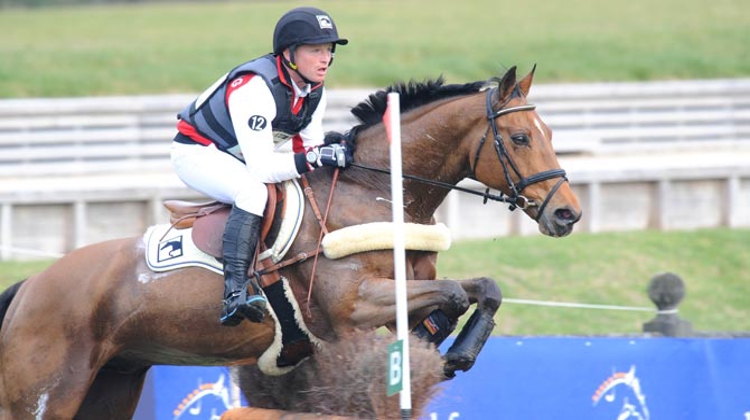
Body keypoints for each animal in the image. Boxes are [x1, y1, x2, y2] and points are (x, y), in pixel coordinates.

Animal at [0, 66, 580, 420]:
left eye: (550, 134)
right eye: (521, 138)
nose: (567, 213)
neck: (374, 192)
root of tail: (29, 287)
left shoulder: (406, 292)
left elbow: (484, 289)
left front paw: (452, 348)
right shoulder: (355, 308)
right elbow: (458, 295)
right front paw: (449, 349)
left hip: (112, 384)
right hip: (45, 393)